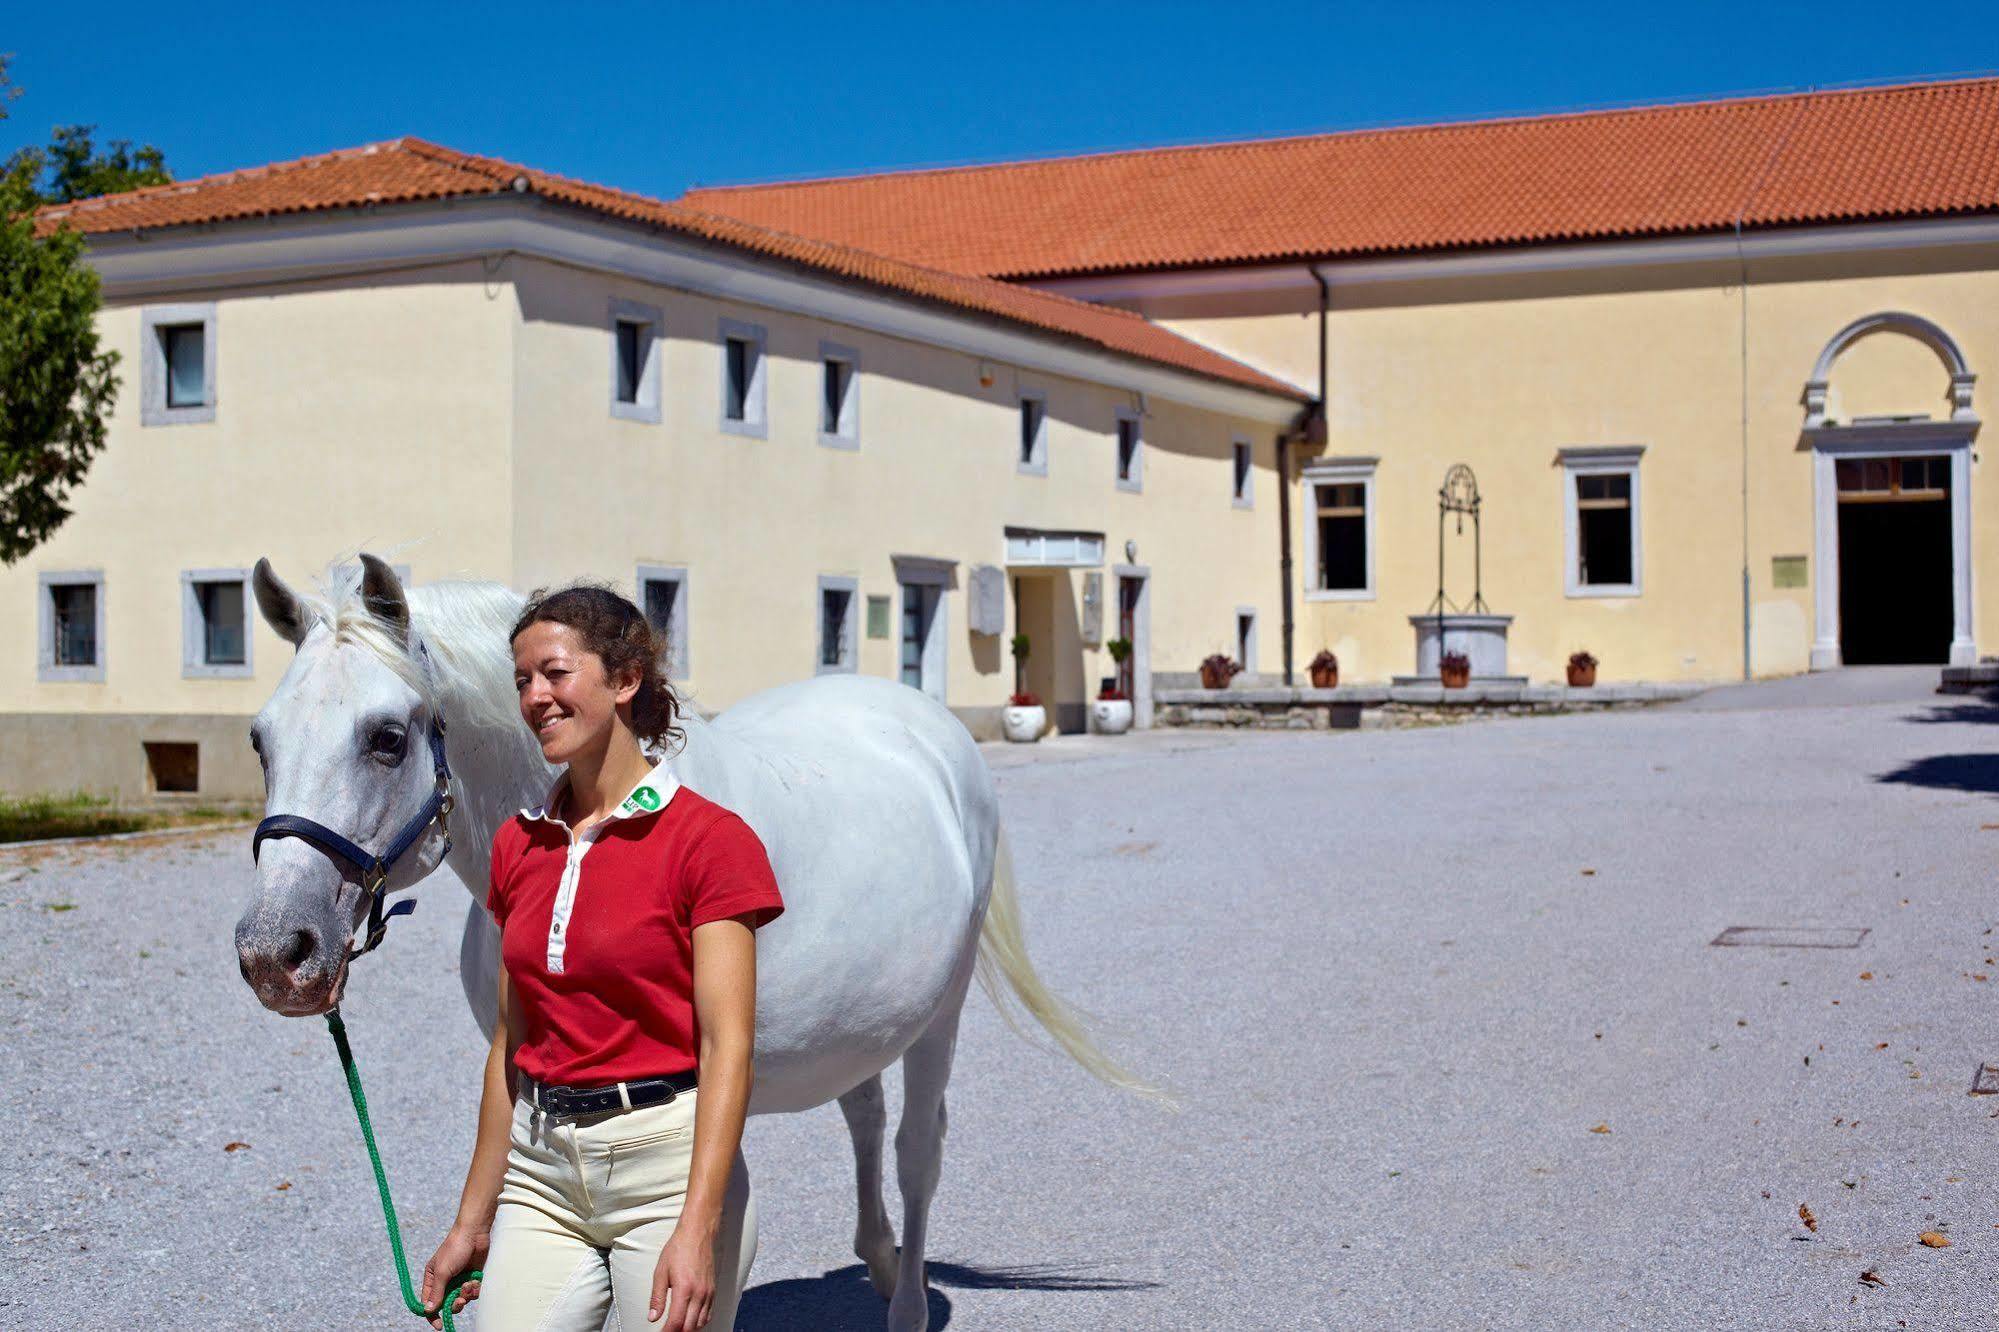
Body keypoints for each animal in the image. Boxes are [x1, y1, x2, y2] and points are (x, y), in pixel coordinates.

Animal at [231, 556, 1143, 1320]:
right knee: (865, 1112)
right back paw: (880, 1261)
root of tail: (928, 728)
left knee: (918, 1149)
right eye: (259, 739)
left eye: (386, 737)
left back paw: (907, 1303)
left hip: (940, 1015)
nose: (275, 951)